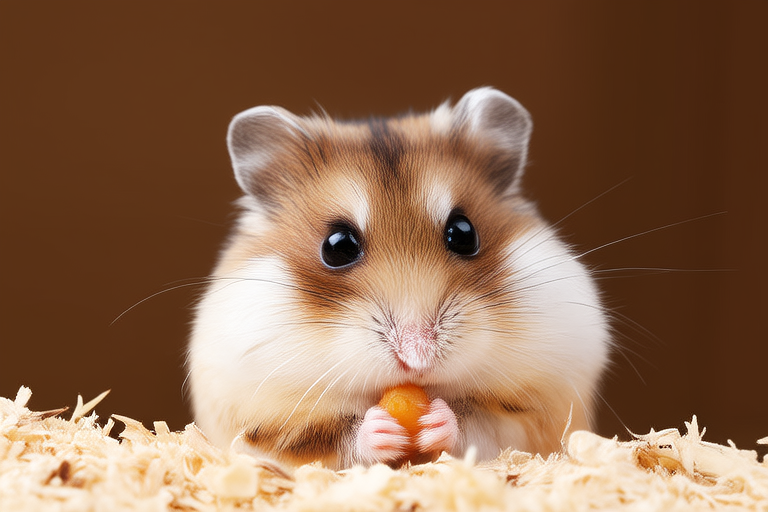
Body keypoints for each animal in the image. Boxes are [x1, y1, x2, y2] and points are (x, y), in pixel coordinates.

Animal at [187, 87, 610, 469]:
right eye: (337, 246)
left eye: (464, 233)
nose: (417, 358)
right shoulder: (266, 423)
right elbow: (332, 441)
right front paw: (381, 429)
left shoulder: (536, 413)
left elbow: (481, 426)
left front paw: (437, 420)